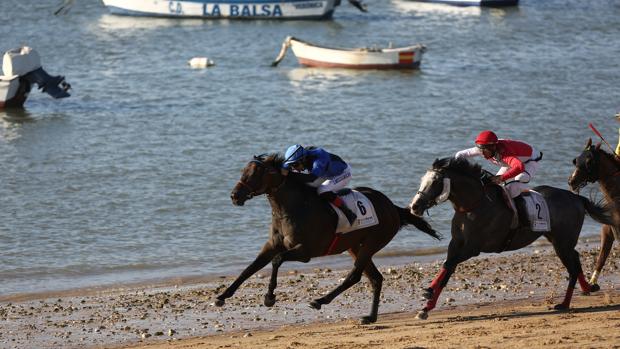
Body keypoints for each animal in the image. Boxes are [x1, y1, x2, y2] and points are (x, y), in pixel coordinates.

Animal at [216, 154, 438, 322]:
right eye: (243, 171)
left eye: (256, 173)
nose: (234, 195)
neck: (293, 208)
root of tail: (393, 207)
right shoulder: (272, 245)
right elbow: (249, 268)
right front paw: (222, 296)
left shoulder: (305, 251)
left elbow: (277, 260)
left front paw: (269, 297)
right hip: (355, 246)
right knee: (375, 278)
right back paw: (370, 317)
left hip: (372, 243)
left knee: (355, 276)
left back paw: (319, 301)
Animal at [406, 157, 612, 318]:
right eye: (422, 180)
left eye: (435, 182)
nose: (414, 206)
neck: (474, 205)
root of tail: (577, 198)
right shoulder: (456, 244)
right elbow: (446, 270)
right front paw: (426, 307)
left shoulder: (472, 248)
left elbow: (448, 265)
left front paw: (427, 292)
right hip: (559, 240)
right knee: (575, 260)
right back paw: (586, 289)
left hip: (562, 243)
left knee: (573, 267)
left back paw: (565, 303)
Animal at [568, 137, 620, 290]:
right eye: (576, 160)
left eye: (589, 162)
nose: (571, 181)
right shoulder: (609, 229)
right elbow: (602, 256)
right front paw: (592, 283)